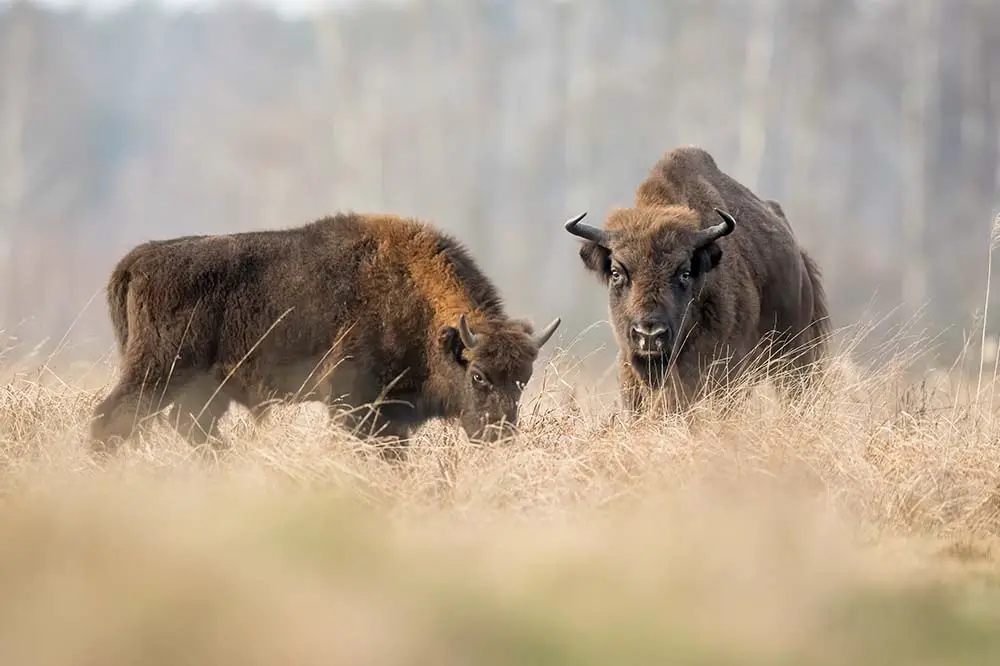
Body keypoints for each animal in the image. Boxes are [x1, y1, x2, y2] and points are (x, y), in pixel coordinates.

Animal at [92, 213, 564, 456]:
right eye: (478, 375)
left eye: (522, 379)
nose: (498, 435)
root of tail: (140, 259)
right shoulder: (354, 404)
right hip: (158, 372)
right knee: (111, 420)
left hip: (204, 389)